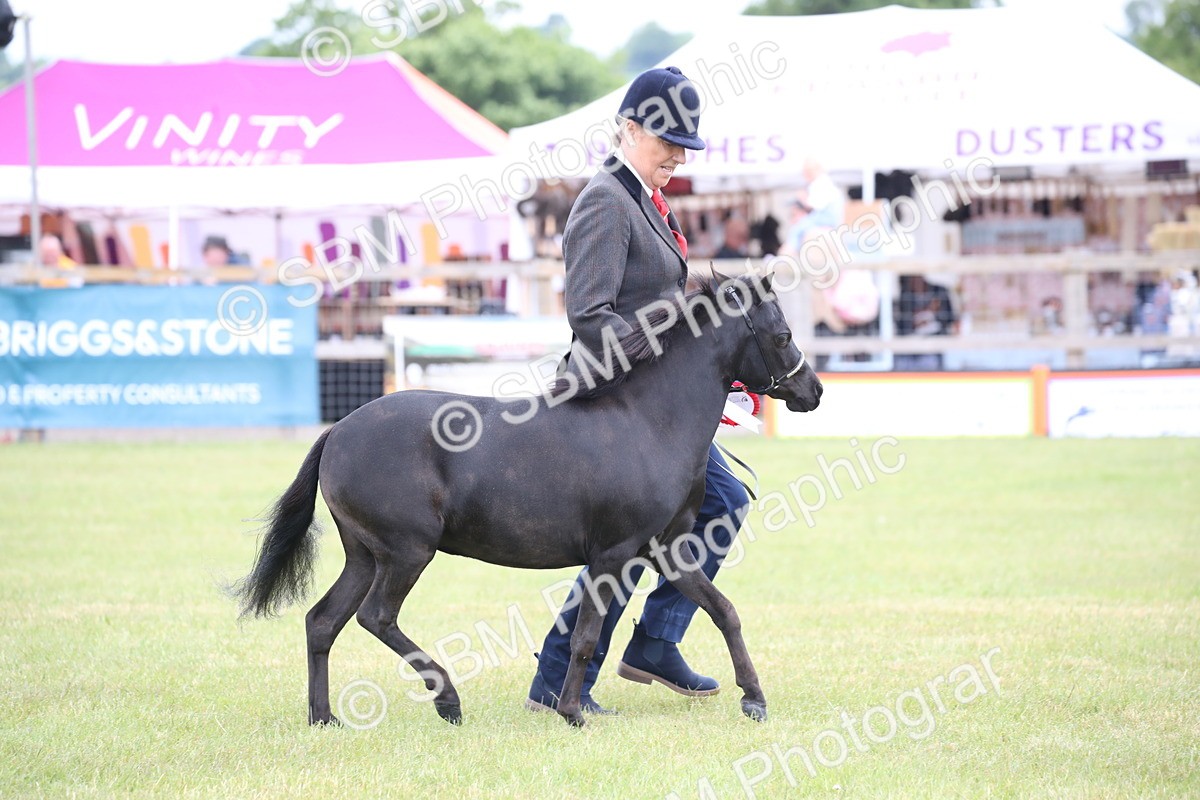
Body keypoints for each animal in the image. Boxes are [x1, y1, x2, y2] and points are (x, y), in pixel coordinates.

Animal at [232, 272, 823, 728]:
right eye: (783, 334)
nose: (813, 391)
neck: (648, 424)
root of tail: (337, 431)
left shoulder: (667, 549)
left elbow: (724, 611)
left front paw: (754, 700)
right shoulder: (612, 555)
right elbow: (585, 635)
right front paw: (572, 713)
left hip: (364, 554)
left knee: (322, 621)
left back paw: (324, 717)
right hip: (406, 551)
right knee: (375, 617)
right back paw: (447, 700)